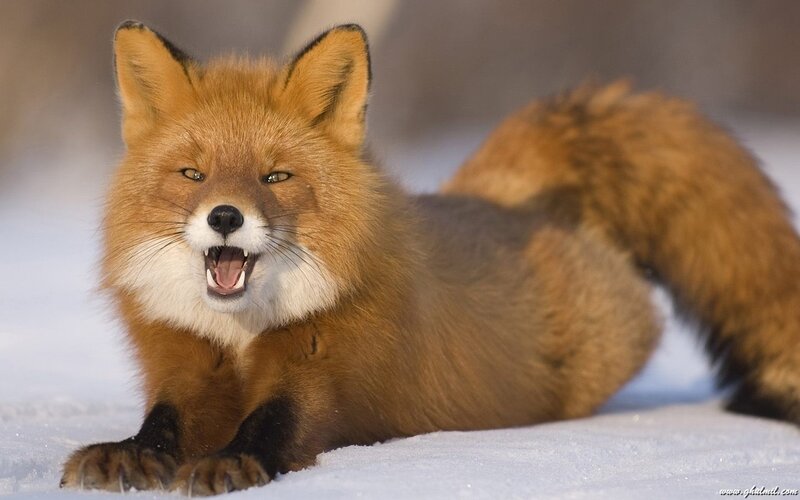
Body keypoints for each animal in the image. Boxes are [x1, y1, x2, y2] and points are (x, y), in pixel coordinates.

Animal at [60, 21, 800, 495]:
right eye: (193, 174)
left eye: (275, 177)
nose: (224, 216)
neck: (242, 333)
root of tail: (503, 200)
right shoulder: (184, 360)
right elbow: (164, 421)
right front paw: (130, 456)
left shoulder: (328, 369)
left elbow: (275, 423)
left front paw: (232, 462)